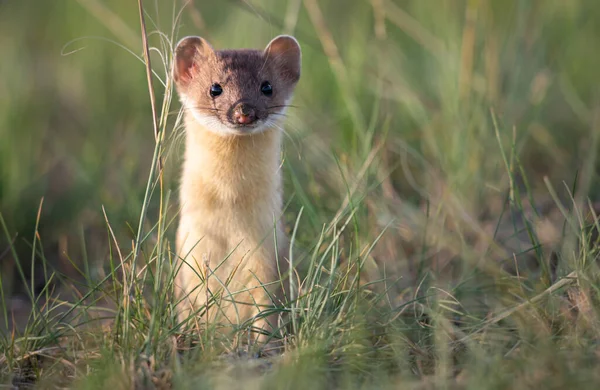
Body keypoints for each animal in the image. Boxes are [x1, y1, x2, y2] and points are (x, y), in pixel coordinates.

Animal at [172, 33, 302, 340]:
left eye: (267, 86)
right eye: (215, 88)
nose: (244, 112)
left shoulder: (269, 252)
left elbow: (267, 308)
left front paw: (262, 342)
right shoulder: (190, 252)